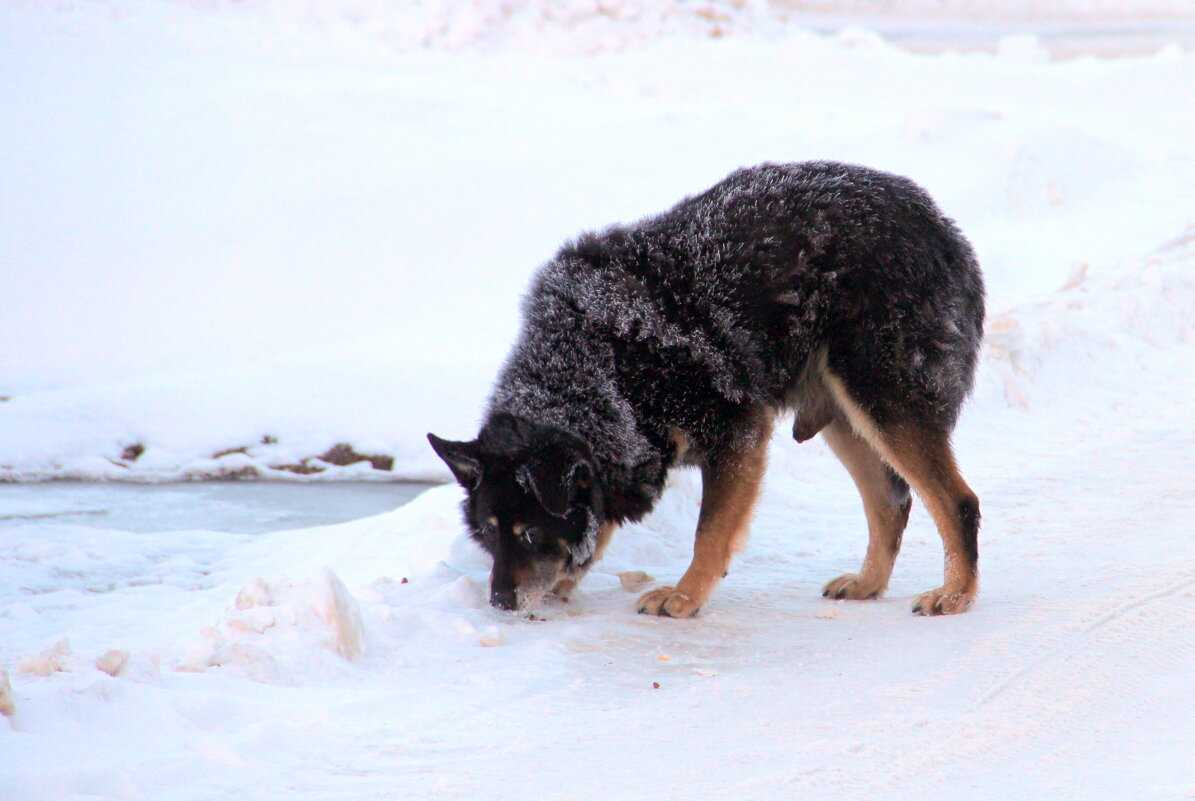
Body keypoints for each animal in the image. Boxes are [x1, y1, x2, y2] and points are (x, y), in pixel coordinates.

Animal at [425, 160, 984, 616]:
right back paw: (869, 583)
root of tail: (942, 226)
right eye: (489, 533)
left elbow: (709, 533)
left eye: (533, 532)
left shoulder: (737, 433)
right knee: (891, 503)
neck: (601, 364)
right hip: (846, 414)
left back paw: (956, 594)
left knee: (957, 501)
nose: (500, 602)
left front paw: (685, 595)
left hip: (881, 400)